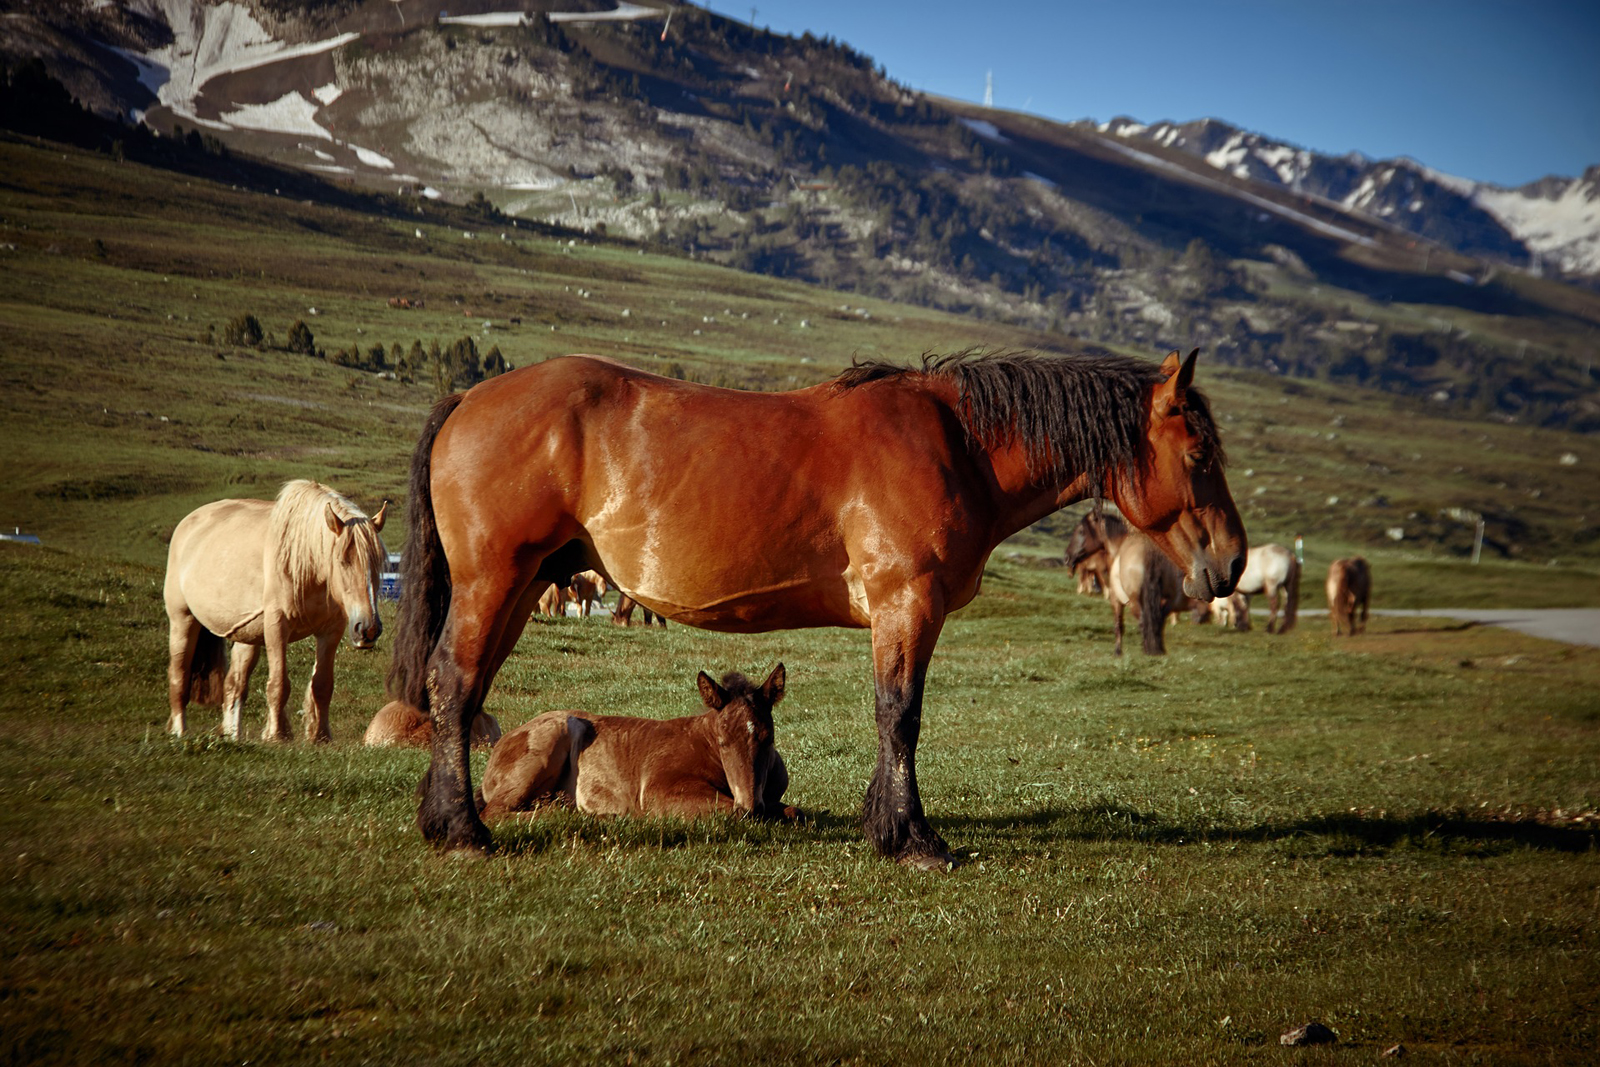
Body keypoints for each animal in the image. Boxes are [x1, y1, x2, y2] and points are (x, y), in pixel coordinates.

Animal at [163, 483, 390, 742]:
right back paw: (179, 731)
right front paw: (276, 734)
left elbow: (322, 685)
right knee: (179, 675)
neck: (308, 565)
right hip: (182, 620)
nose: (368, 629)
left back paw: (233, 735)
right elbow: (279, 684)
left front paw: (321, 737)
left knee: (234, 686)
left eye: (378, 563)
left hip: (247, 636)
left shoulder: (330, 630)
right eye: (343, 561)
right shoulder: (276, 627)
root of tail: (186, 524)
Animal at [476, 662, 796, 825]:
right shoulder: (658, 790)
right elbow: (731, 810)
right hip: (547, 742)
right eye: (722, 741)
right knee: (494, 812)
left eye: (768, 738)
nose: (751, 804)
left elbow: (794, 811)